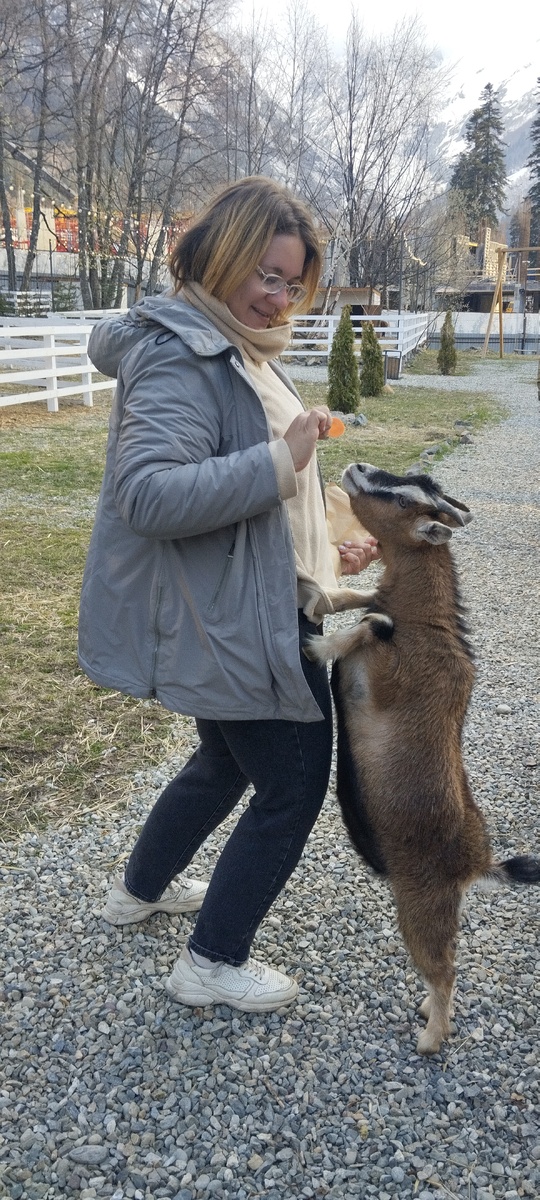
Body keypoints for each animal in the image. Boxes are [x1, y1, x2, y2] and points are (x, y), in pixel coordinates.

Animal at [306, 462, 540, 1054]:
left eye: (402, 498)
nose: (356, 469)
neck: (422, 622)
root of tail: (478, 863)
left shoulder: (390, 678)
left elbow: (371, 625)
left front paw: (317, 649)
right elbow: (361, 604)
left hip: (421, 903)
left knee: (444, 967)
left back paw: (432, 1039)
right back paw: (427, 1012)